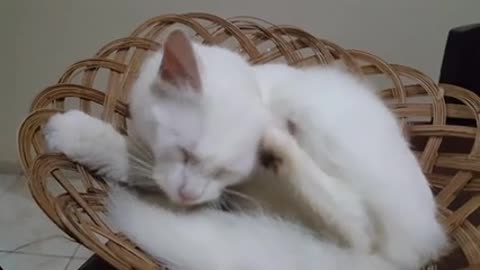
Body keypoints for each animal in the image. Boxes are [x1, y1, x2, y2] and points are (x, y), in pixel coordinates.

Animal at [43, 30, 448, 270]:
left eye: (226, 171)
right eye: (184, 152)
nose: (188, 196)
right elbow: (135, 159)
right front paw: (78, 136)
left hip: (318, 115)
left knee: (357, 227)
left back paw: (279, 144)